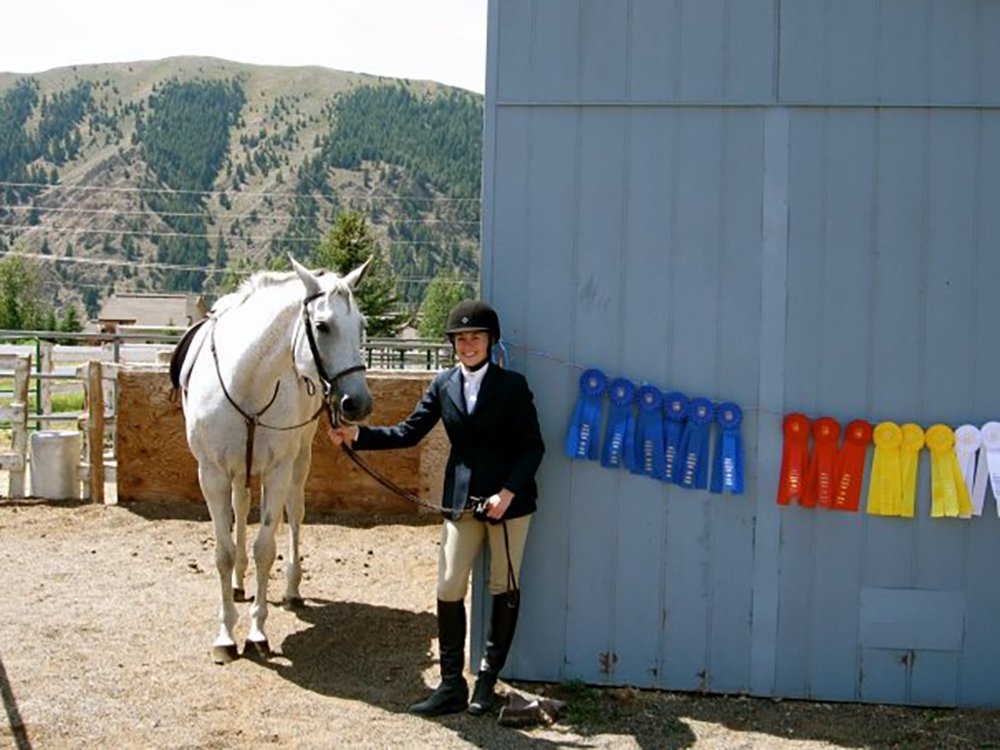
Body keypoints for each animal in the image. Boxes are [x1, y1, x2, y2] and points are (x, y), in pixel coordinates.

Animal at [173, 257, 373, 663]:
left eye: (361, 325)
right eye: (322, 325)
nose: (358, 403)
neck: (245, 381)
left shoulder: (278, 470)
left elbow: (265, 549)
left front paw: (256, 633)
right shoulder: (212, 474)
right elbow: (223, 551)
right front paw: (225, 635)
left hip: (298, 459)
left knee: (294, 513)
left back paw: (293, 588)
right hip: (240, 470)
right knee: (241, 507)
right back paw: (238, 583)